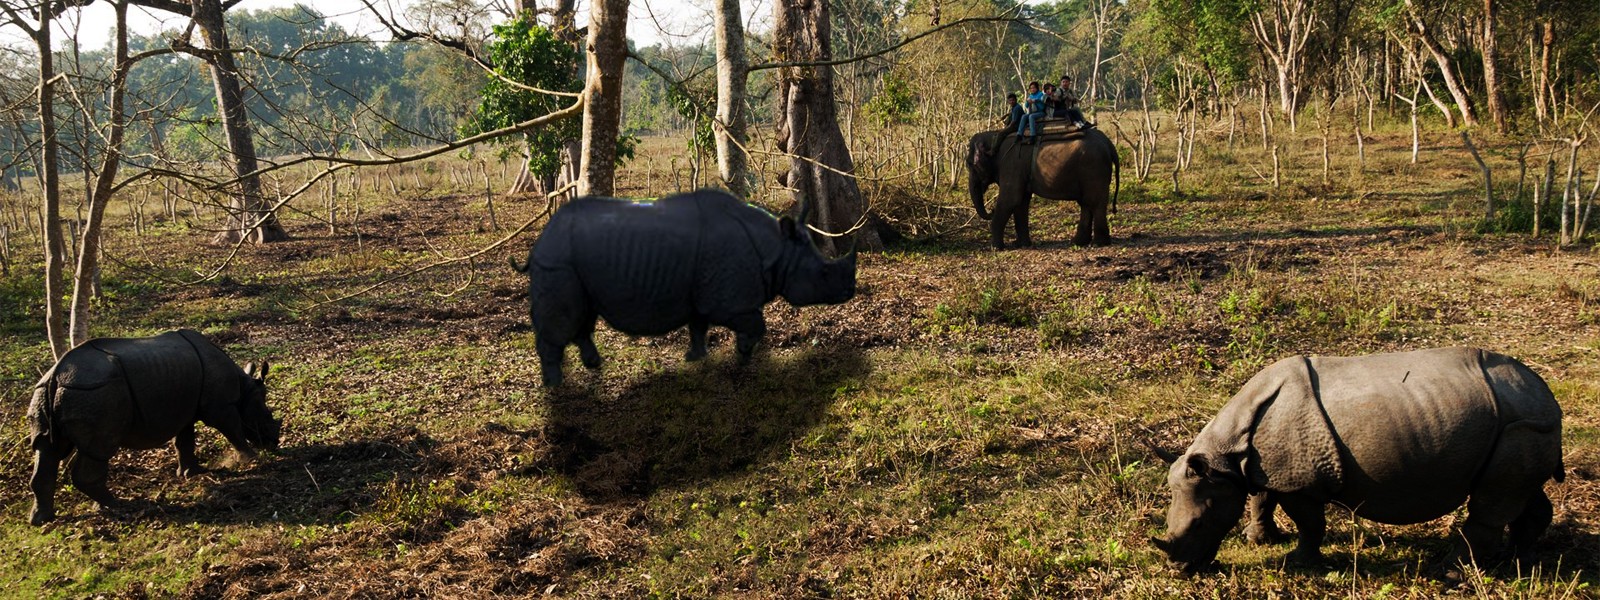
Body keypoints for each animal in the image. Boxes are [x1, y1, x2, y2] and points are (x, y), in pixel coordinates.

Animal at [966, 125, 1120, 249]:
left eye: (969, 164)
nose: (990, 210)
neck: (994, 135)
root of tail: (1108, 143)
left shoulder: (1012, 164)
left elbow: (1010, 200)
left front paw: (996, 248)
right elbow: (1021, 202)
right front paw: (1022, 245)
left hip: (1094, 169)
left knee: (1095, 203)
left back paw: (1098, 244)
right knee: (1086, 203)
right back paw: (1078, 242)